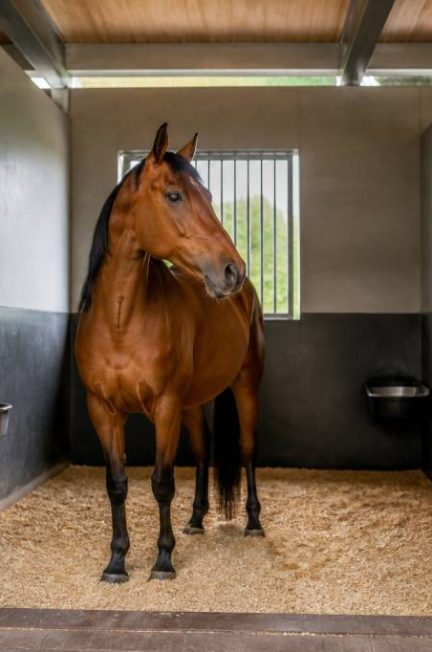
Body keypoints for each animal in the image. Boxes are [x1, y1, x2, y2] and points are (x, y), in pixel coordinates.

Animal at [75, 123, 265, 583]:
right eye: (175, 196)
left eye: (209, 197)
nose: (233, 270)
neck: (121, 321)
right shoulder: (102, 410)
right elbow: (117, 484)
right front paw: (117, 563)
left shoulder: (164, 407)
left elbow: (161, 483)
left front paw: (163, 560)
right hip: (193, 404)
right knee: (202, 451)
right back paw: (196, 519)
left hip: (246, 385)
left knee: (248, 450)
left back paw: (253, 521)